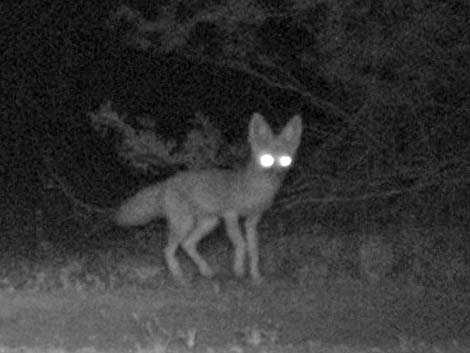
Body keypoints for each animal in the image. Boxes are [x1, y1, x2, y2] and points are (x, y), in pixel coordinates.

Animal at [114, 113, 304, 284]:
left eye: (285, 160)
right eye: (266, 159)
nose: (276, 174)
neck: (256, 189)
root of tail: (166, 182)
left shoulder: (252, 220)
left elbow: (254, 250)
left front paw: (256, 276)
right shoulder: (230, 215)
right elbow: (241, 245)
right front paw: (238, 270)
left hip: (209, 222)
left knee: (187, 244)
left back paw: (205, 271)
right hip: (187, 223)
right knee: (168, 250)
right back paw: (179, 277)